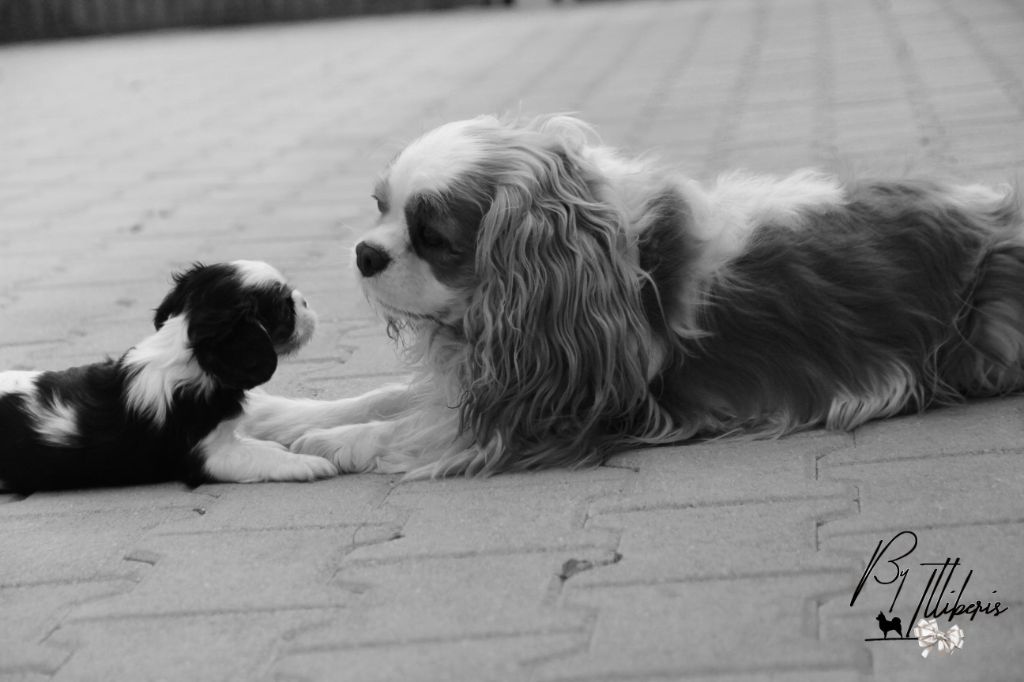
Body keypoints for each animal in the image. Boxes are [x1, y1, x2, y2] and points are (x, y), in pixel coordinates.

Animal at [0, 258, 335, 491]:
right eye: (285, 308)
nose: (304, 301)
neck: (187, 354)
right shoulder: (207, 456)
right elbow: (258, 458)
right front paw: (309, 463)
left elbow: (251, 444)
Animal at [241, 114, 1024, 475]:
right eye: (378, 208)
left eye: (432, 236)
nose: (365, 253)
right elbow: (385, 396)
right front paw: (283, 414)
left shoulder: (566, 407)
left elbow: (414, 426)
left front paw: (330, 441)